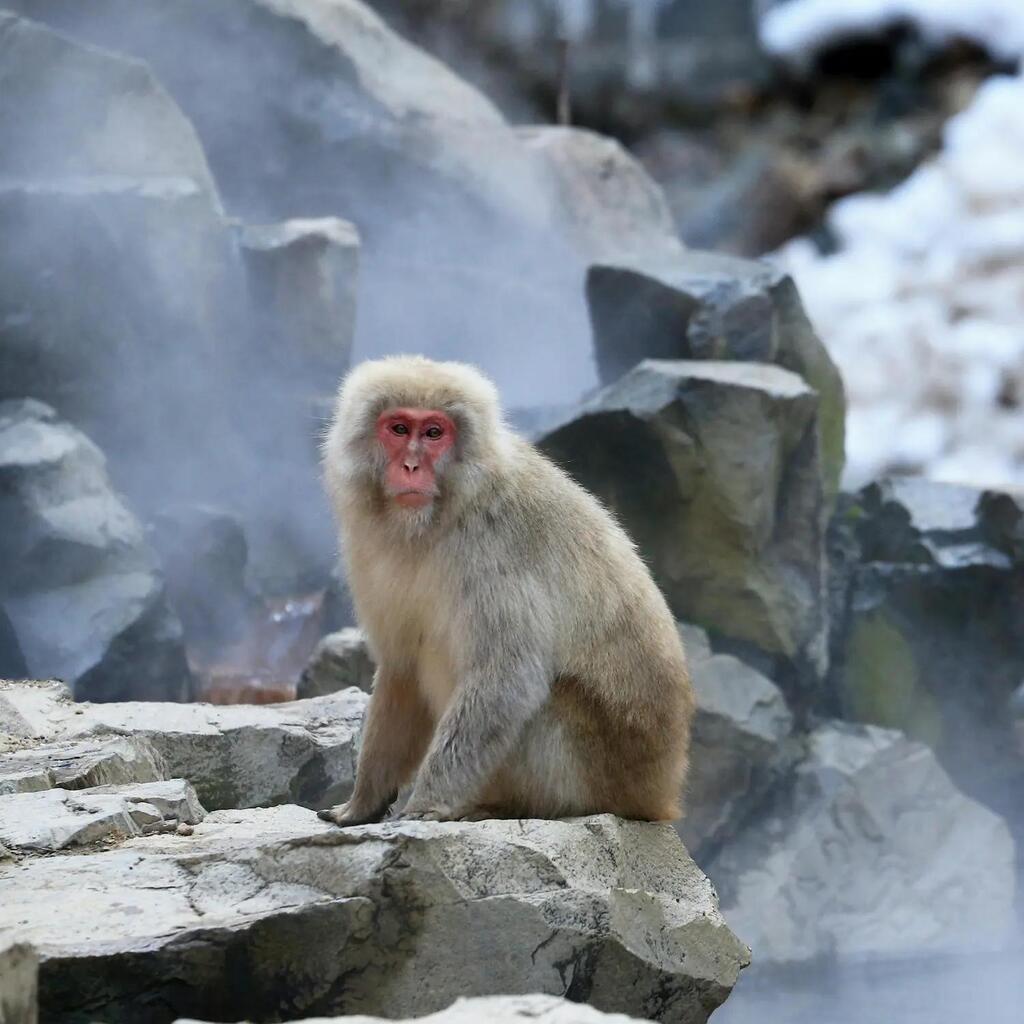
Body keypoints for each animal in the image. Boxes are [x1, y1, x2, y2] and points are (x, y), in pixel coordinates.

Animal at [317, 355, 693, 825]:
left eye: (434, 433)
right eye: (399, 428)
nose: (411, 467)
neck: (438, 519)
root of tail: (659, 794)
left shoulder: (491, 546)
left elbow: (507, 675)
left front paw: (426, 803)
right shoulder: (368, 550)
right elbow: (402, 669)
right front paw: (363, 801)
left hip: (598, 770)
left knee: (545, 701)